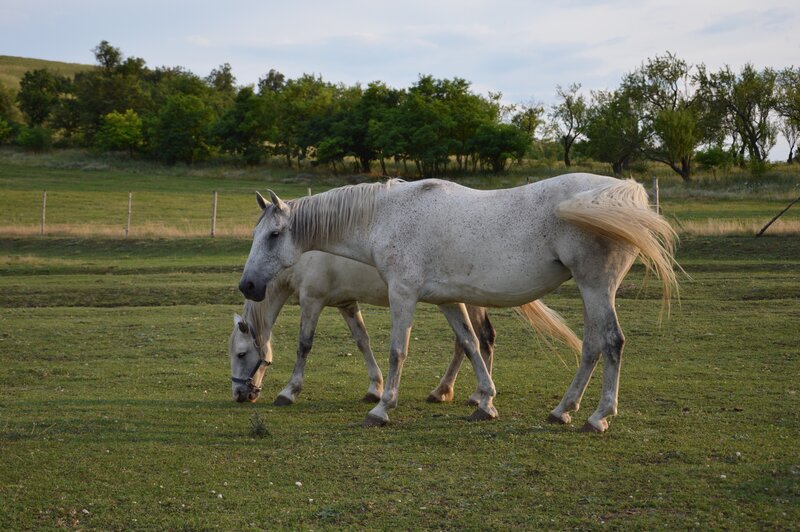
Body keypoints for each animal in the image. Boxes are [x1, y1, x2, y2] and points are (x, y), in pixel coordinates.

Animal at [229, 250, 581, 406]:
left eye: (241, 354)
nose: (239, 394)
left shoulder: (312, 301)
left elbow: (304, 345)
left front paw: (289, 391)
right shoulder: (346, 304)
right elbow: (362, 341)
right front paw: (375, 387)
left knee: (480, 339)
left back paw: (472, 395)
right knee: (469, 342)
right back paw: (450, 391)